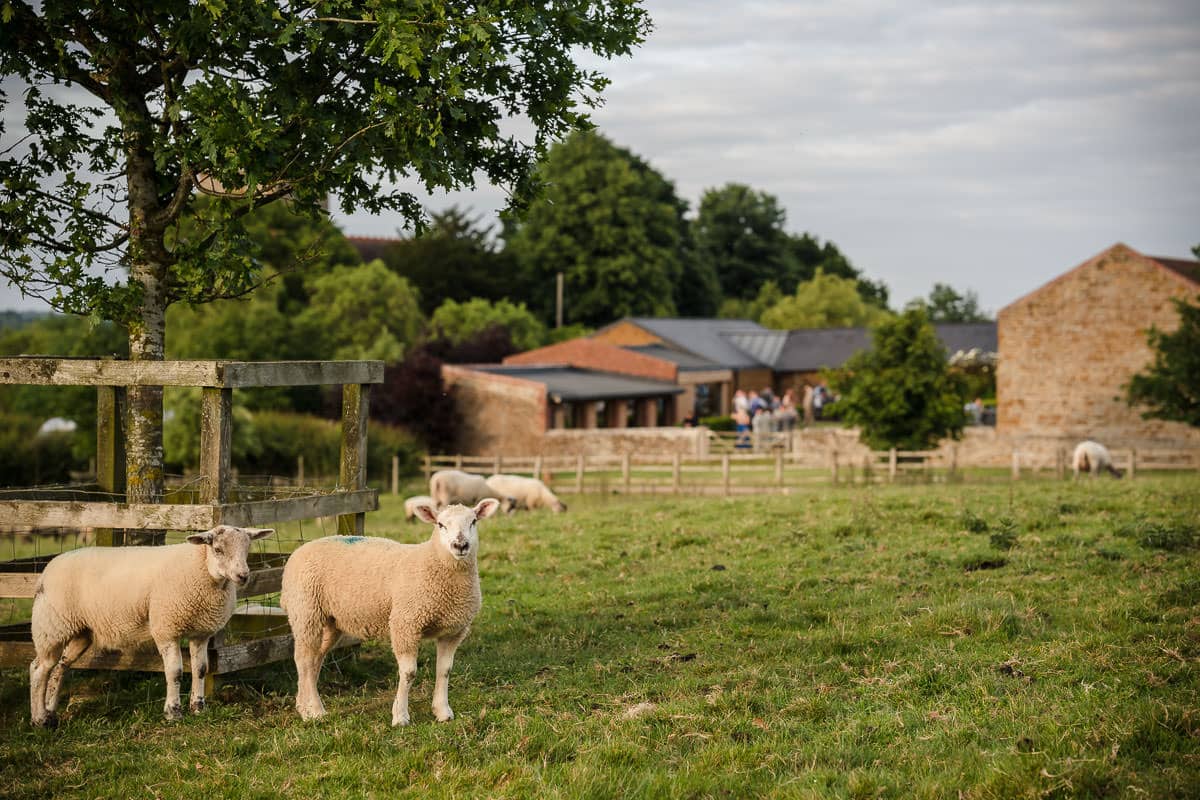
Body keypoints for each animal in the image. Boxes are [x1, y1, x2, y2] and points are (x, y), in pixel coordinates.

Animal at [29, 525, 274, 728]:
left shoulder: (201, 632)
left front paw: (198, 708)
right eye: (218, 549)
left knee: (59, 667)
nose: (243, 576)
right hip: (52, 626)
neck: (201, 569)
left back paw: (50, 711)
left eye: (247, 549)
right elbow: (175, 672)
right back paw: (39, 719)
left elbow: (201, 669)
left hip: (81, 632)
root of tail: (45, 572)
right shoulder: (166, 628)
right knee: (39, 668)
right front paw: (173, 712)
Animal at [280, 498, 499, 726]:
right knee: (304, 660)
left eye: (473, 521)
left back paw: (304, 706)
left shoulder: (453, 631)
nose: (460, 545)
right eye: (440, 524)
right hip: (306, 611)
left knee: (315, 659)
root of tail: (298, 551)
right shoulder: (405, 623)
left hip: (331, 620)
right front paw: (400, 716)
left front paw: (442, 711)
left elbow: (445, 670)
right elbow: (409, 673)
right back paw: (315, 711)